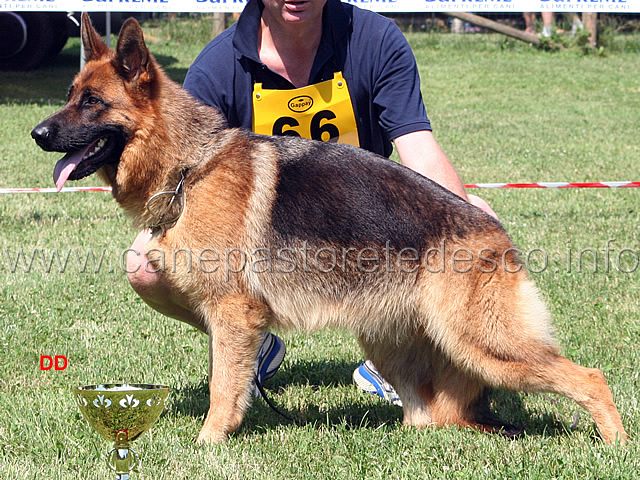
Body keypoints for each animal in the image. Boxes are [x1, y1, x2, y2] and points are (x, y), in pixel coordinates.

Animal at [31, 15, 624, 444]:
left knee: (589, 377)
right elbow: (228, 376)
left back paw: (615, 444)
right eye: (70, 95)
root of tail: (493, 232)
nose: (36, 133)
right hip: (397, 341)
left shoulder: (231, 312)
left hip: (484, 343)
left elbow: (223, 388)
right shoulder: (229, 314)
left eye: (92, 103)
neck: (189, 166)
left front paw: (208, 445)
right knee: (430, 415)